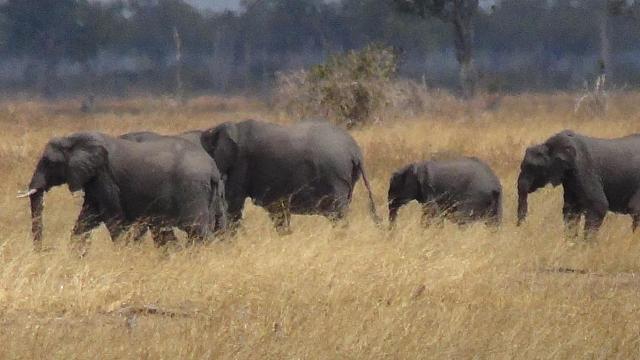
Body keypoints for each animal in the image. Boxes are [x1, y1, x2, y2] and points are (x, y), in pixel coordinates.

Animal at [19, 131, 228, 252]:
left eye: (49, 162)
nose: (44, 251)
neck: (74, 138)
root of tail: (212, 168)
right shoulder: (94, 178)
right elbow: (87, 218)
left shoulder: (104, 175)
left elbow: (112, 217)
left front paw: (123, 253)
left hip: (192, 189)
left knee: (197, 229)